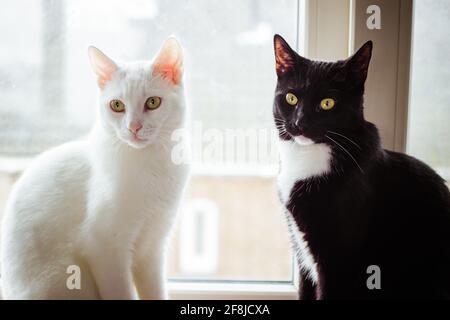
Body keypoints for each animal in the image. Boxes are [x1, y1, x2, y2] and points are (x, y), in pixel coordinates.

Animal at [0, 37, 190, 300]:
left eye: (153, 102)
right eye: (117, 105)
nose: (133, 127)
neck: (151, 165)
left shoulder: (152, 248)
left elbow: (155, 291)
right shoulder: (105, 248)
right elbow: (121, 293)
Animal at [272, 33, 450, 298]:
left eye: (327, 103)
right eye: (291, 98)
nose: (300, 123)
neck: (309, 158)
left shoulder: (337, 263)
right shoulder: (302, 251)